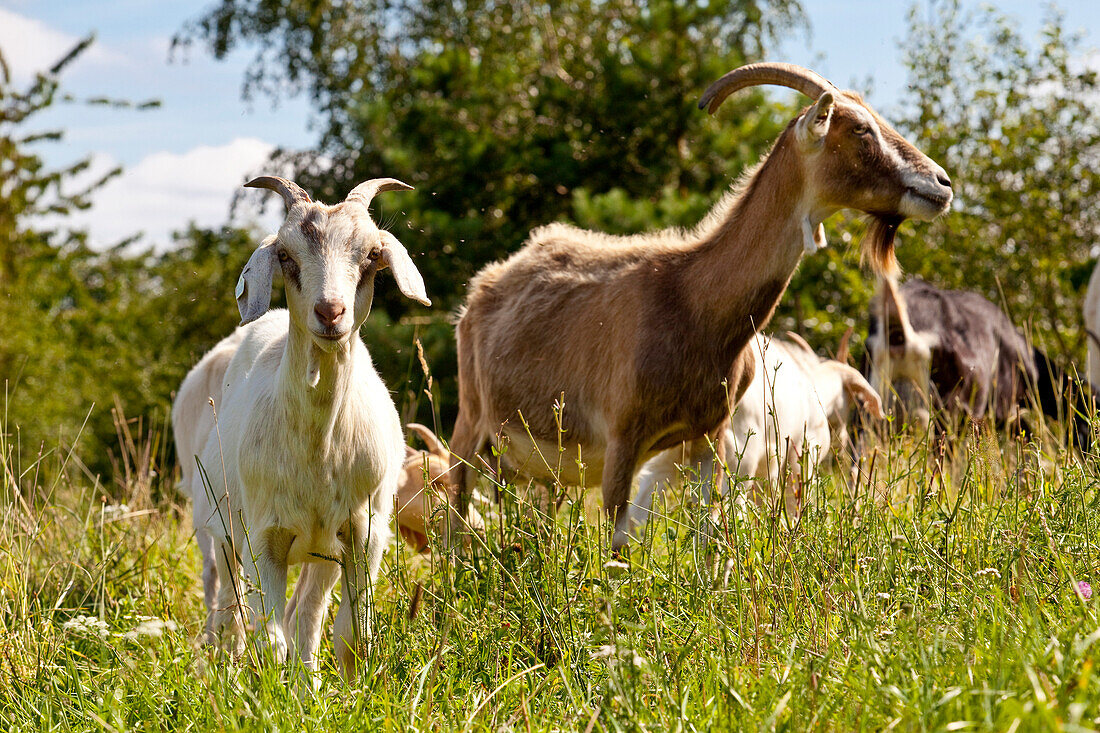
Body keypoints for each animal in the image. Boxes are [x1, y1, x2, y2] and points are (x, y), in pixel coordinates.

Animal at [193, 176, 429, 673]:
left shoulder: (364, 533)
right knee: (229, 612)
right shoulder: (264, 537)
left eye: (371, 255)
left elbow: (351, 635)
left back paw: (308, 681)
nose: (330, 312)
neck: (319, 450)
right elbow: (269, 640)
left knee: (306, 613)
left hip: (322, 549)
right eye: (285, 254)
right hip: (221, 529)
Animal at [633, 330, 880, 526]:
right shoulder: (802, 455)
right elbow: (793, 503)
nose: (844, 438)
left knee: (637, 514)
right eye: (853, 399)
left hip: (666, 455)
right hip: (736, 460)